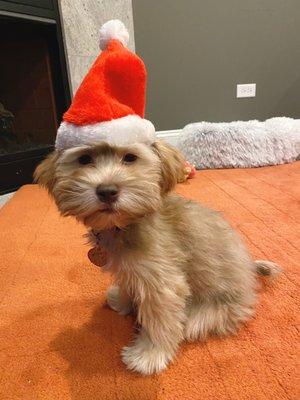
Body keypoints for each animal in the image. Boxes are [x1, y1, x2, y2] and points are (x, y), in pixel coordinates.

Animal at [35, 140, 282, 376]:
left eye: (130, 158)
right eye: (85, 159)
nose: (107, 191)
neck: (124, 226)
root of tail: (250, 270)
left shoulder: (162, 283)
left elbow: (159, 322)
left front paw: (148, 355)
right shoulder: (130, 269)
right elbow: (128, 286)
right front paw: (122, 301)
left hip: (213, 308)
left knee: (194, 322)